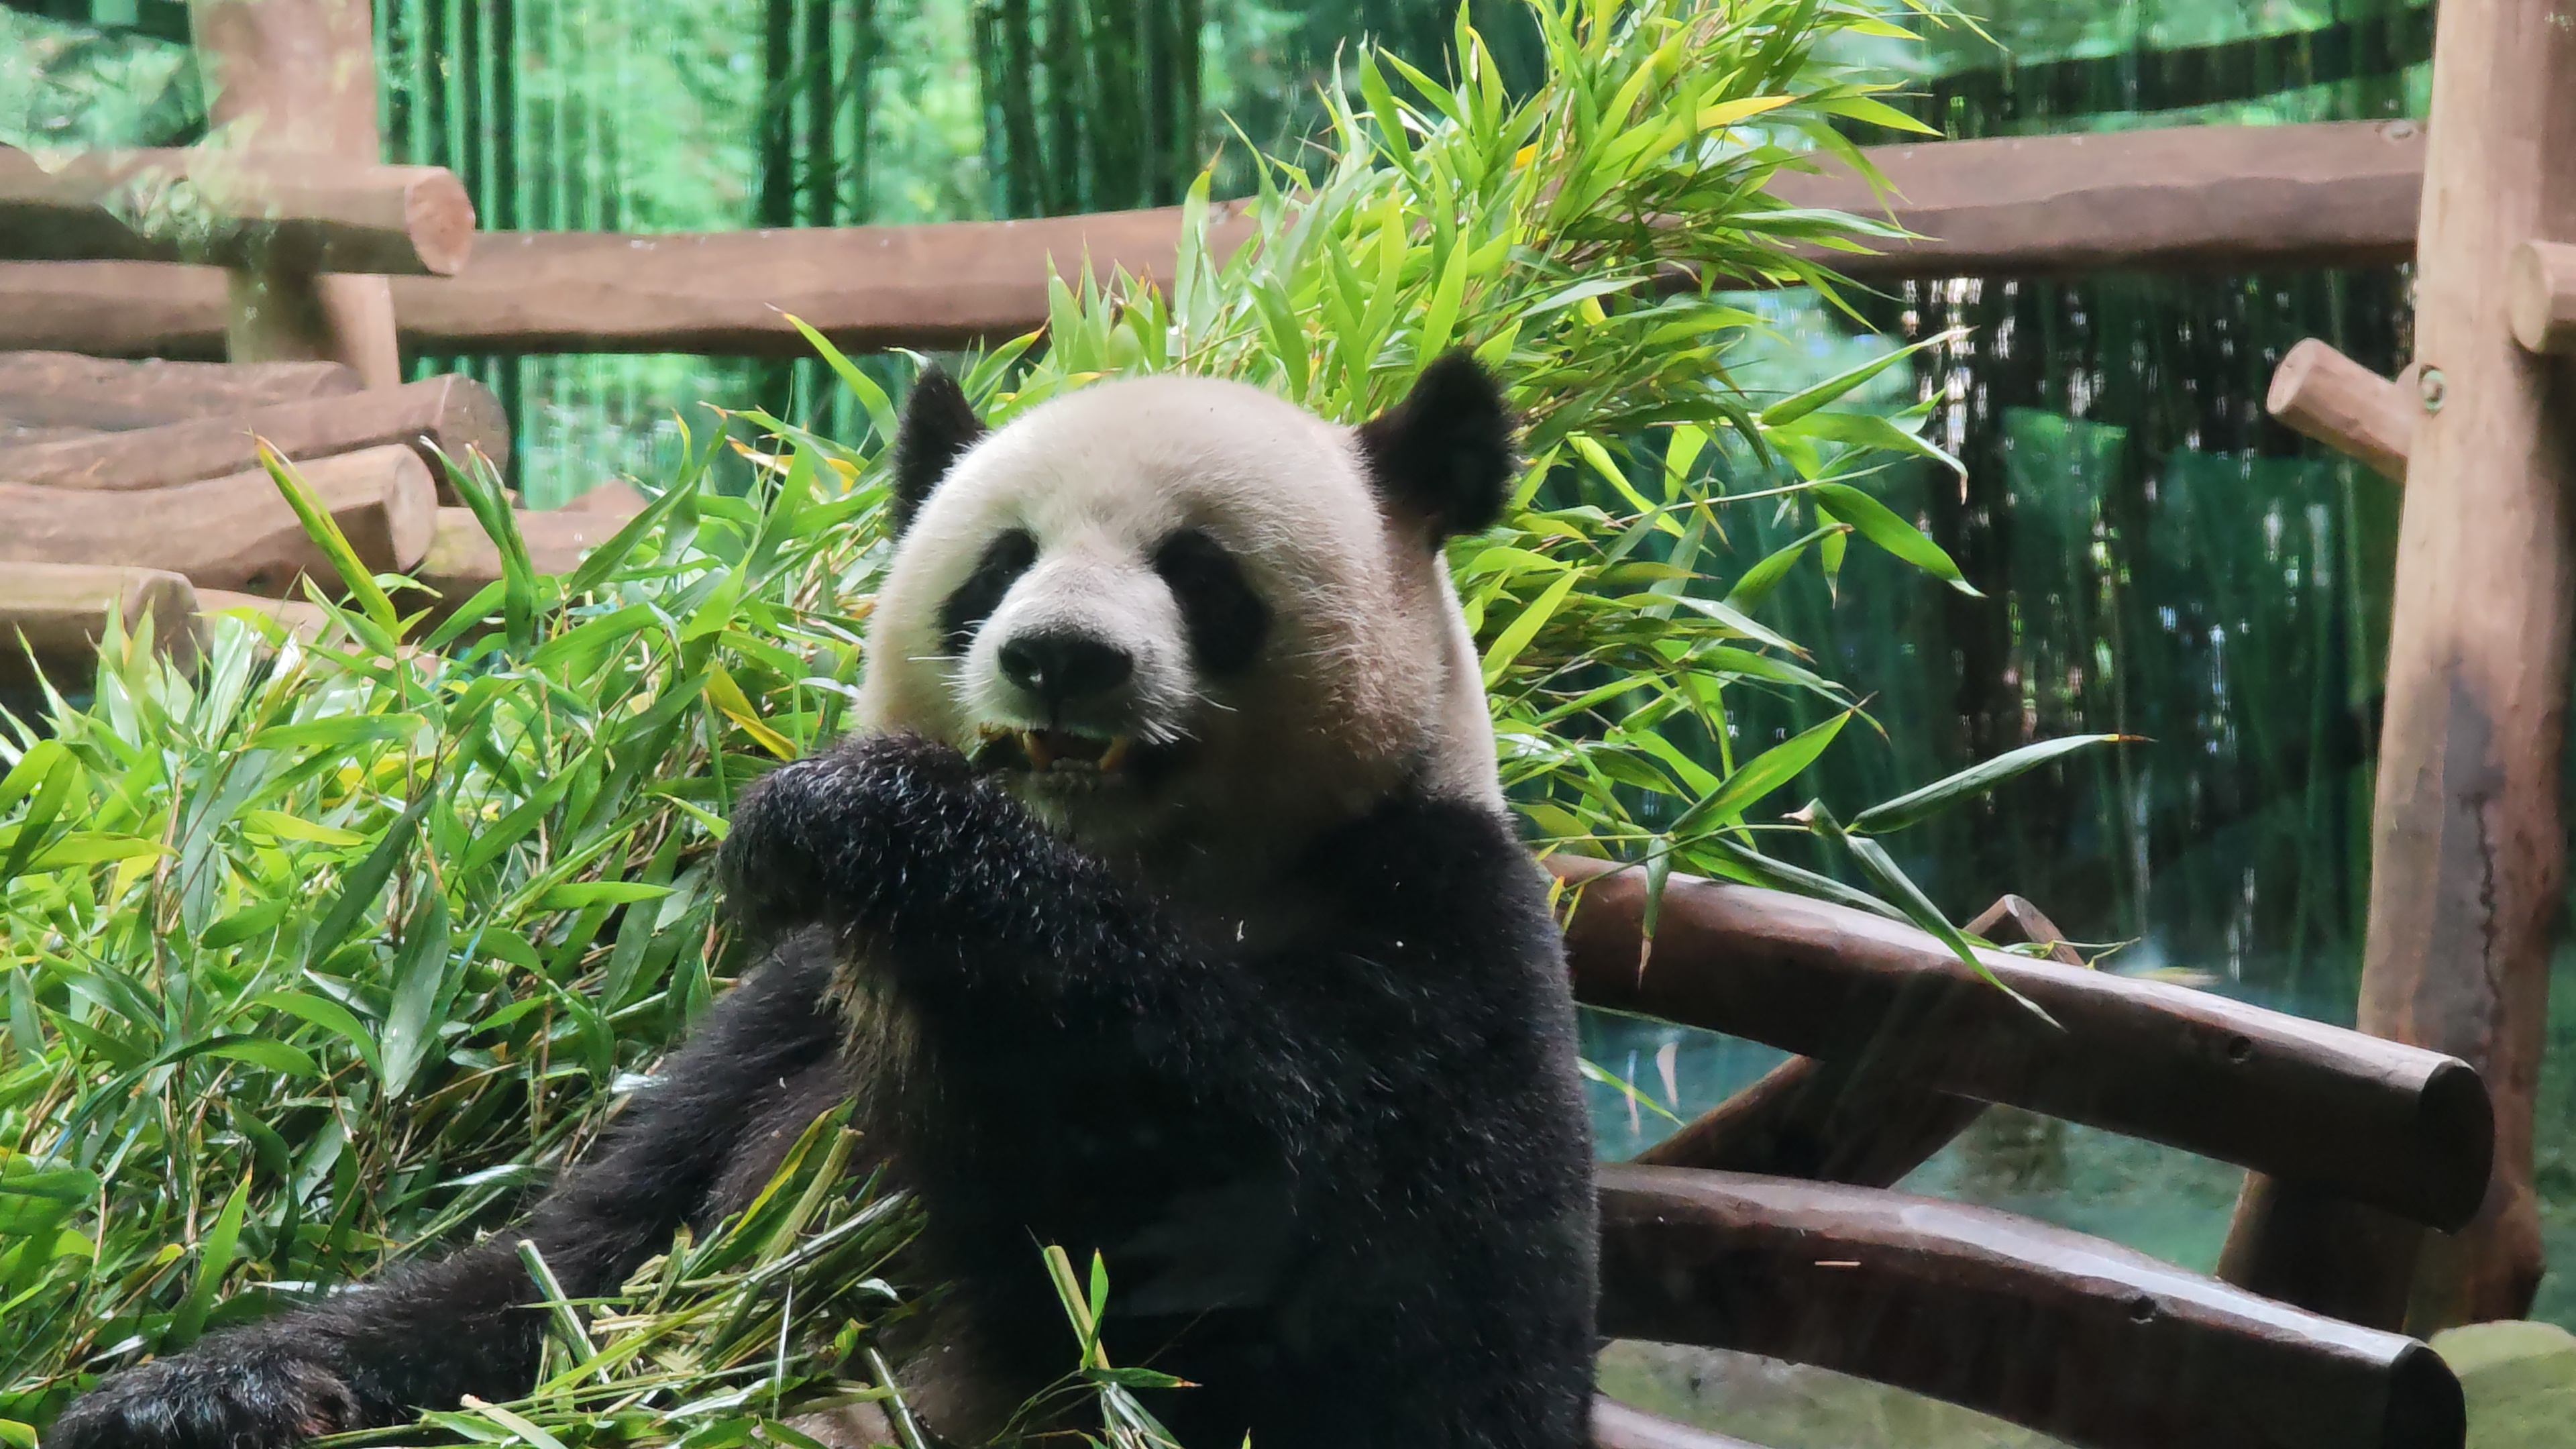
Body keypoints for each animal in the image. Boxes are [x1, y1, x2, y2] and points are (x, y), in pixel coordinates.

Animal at [46, 354, 1599, 1449]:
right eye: (999, 566)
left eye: (1199, 571)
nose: (1060, 658)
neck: (1139, 865)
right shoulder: (792, 1008)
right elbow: (569, 1267)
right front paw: (196, 1392)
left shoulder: (1440, 930)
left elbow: (1362, 1291)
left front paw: (862, 819)